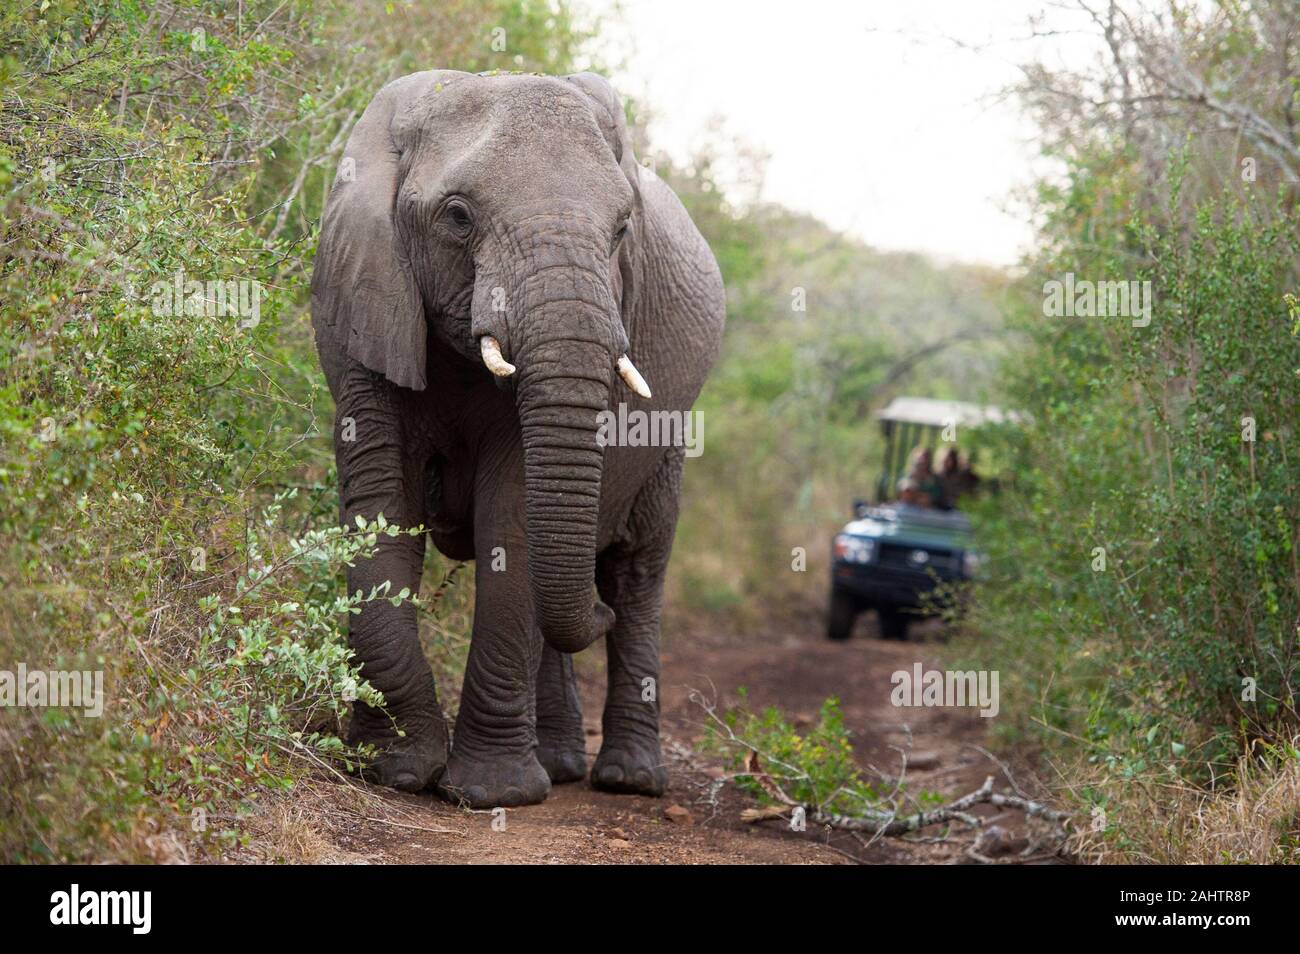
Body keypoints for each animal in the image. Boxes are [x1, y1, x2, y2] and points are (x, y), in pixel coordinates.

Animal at [309, 70, 728, 811]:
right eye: (457, 216)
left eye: (624, 228)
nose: (595, 615)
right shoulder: (362, 305)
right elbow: (383, 508)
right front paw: (393, 769)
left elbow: (513, 514)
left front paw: (489, 793)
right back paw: (558, 764)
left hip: (670, 436)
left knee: (637, 570)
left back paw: (629, 779)